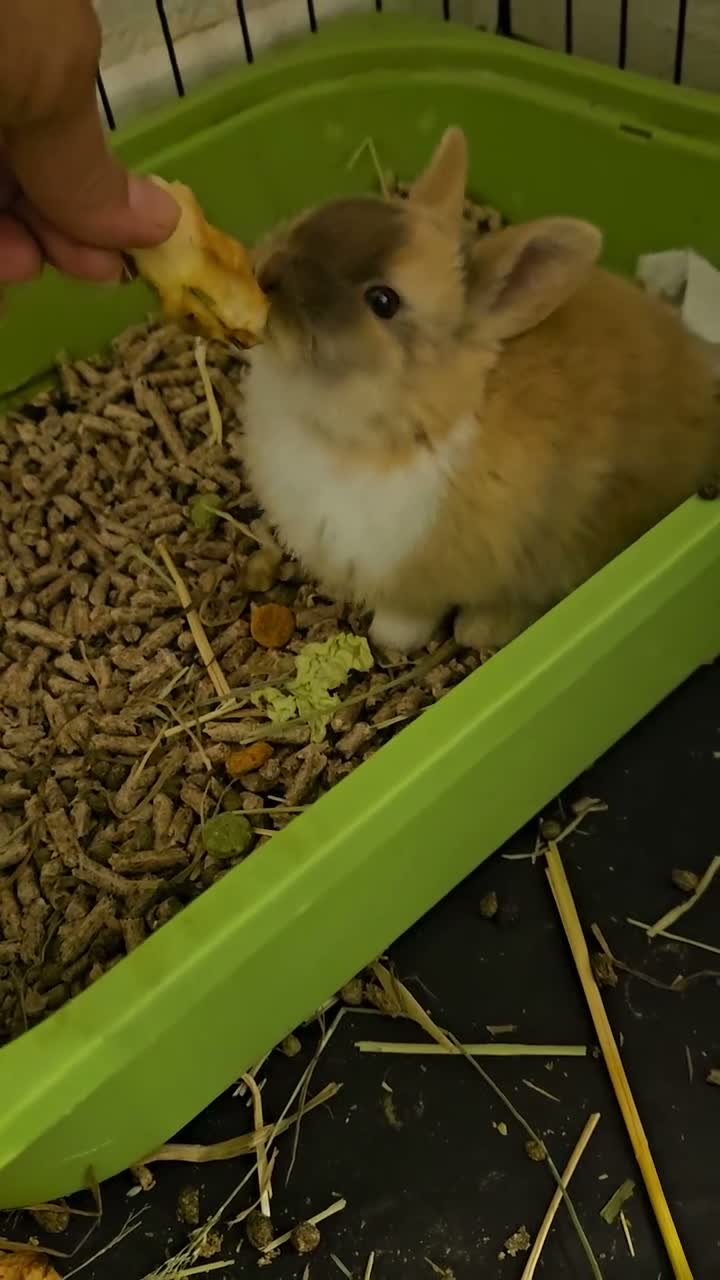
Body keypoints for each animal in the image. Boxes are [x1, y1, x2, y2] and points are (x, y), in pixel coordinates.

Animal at [242, 127, 720, 653]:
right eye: (321, 214)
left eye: (383, 301)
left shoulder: (419, 581)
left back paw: (477, 630)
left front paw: (389, 641)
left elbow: (407, 618)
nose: (267, 275)